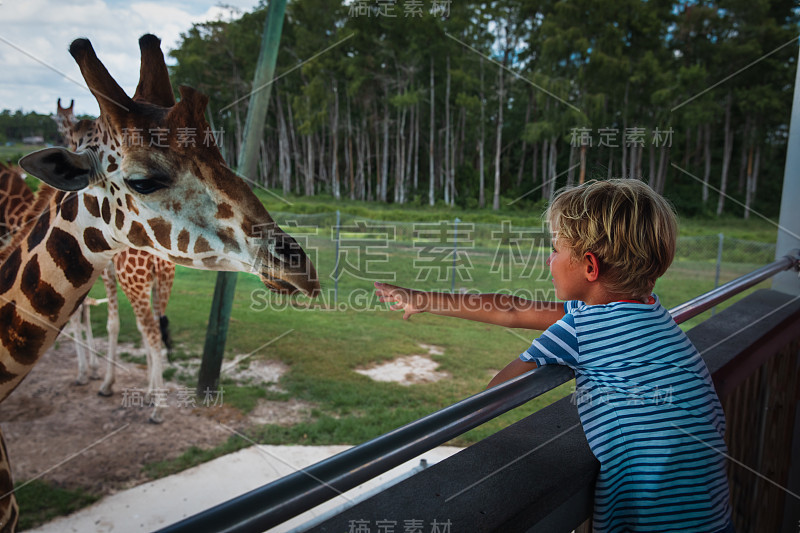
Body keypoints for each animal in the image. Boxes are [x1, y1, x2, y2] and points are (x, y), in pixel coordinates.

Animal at [54, 98, 178, 404]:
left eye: (58, 120)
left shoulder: (104, 275)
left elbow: (107, 323)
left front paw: (98, 379)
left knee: (150, 327)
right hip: (162, 282)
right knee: (155, 325)